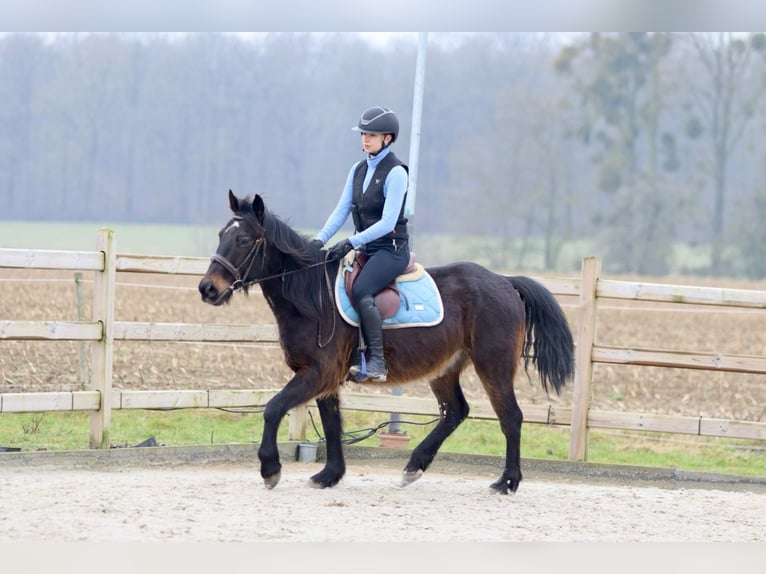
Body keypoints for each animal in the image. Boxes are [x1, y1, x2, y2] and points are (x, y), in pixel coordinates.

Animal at [200, 192, 576, 496]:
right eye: (220, 235)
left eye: (244, 239)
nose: (208, 289)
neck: (310, 296)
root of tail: (505, 281)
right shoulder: (324, 377)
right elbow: (332, 423)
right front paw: (329, 475)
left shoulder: (318, 373)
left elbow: (273, 408)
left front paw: (270, 470)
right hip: (445, 367)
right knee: (455, 411)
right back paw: (414, 466)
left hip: (493, 365)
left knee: (510, 416)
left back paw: (507, 481)